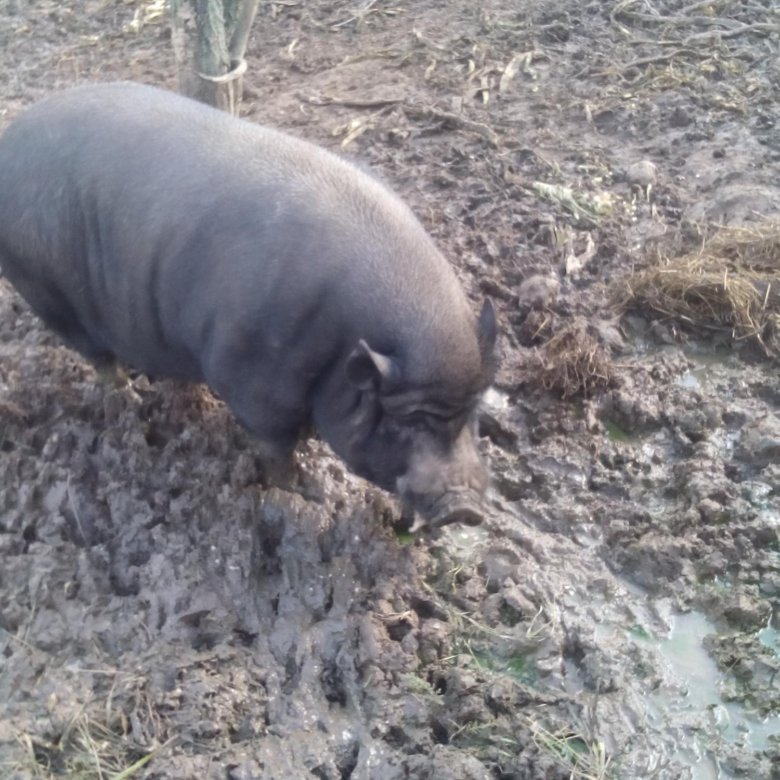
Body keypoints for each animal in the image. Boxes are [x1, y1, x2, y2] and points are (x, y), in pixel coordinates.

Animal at [0, 82, 500, 528]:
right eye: (407, 422)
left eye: (474, 413)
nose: (466, 509)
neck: (342, 345)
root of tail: (11, 139)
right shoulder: (255, 382)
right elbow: (277, 447)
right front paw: (301, 492)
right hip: (44, 289)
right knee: (97, 356)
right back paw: (128, 398)